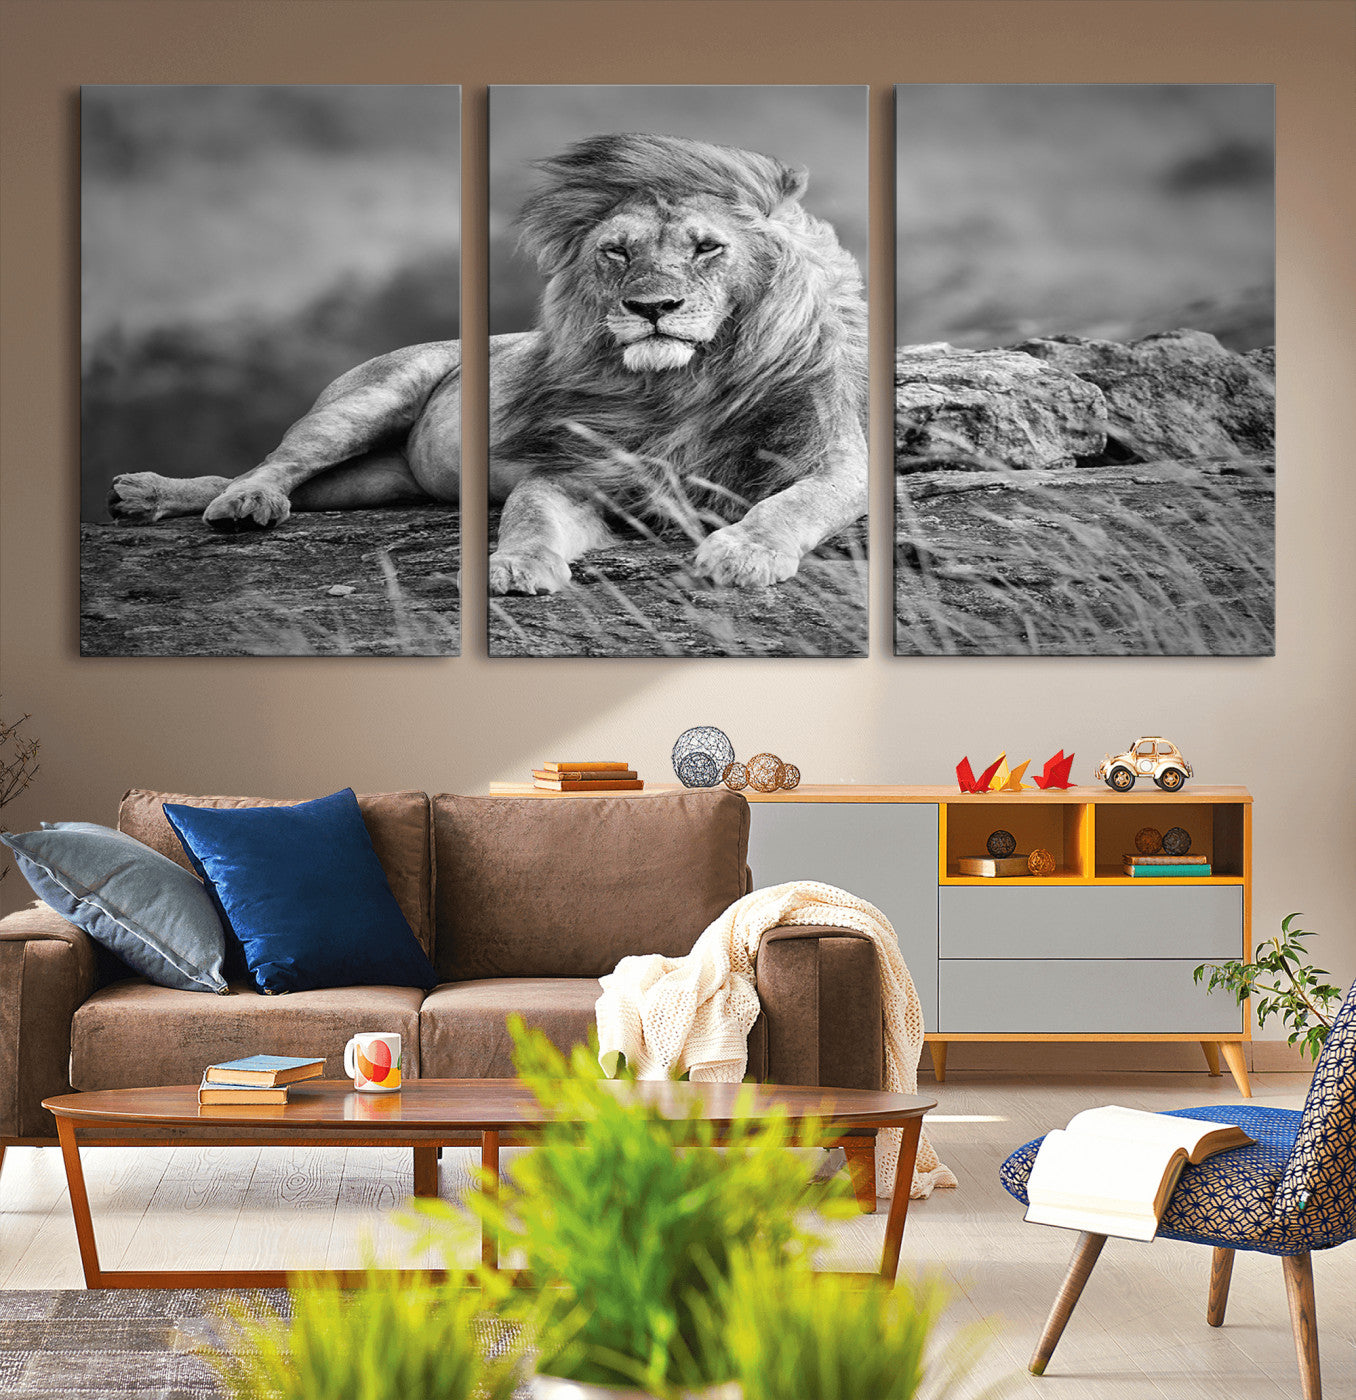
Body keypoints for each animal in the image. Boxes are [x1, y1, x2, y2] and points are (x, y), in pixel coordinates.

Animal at [109, 132, 868, 593]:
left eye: (708, 247)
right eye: (617, 251)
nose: (652, 306)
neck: (682, 385)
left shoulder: (836, 461)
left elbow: (796, 501)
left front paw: (743, 553)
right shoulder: (572, 472)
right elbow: (529, 514)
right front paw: (515, 566)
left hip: (374, 482)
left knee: (262, 477)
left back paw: (155, 495)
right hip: (366, 402)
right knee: (270, 464)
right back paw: (222, 502)